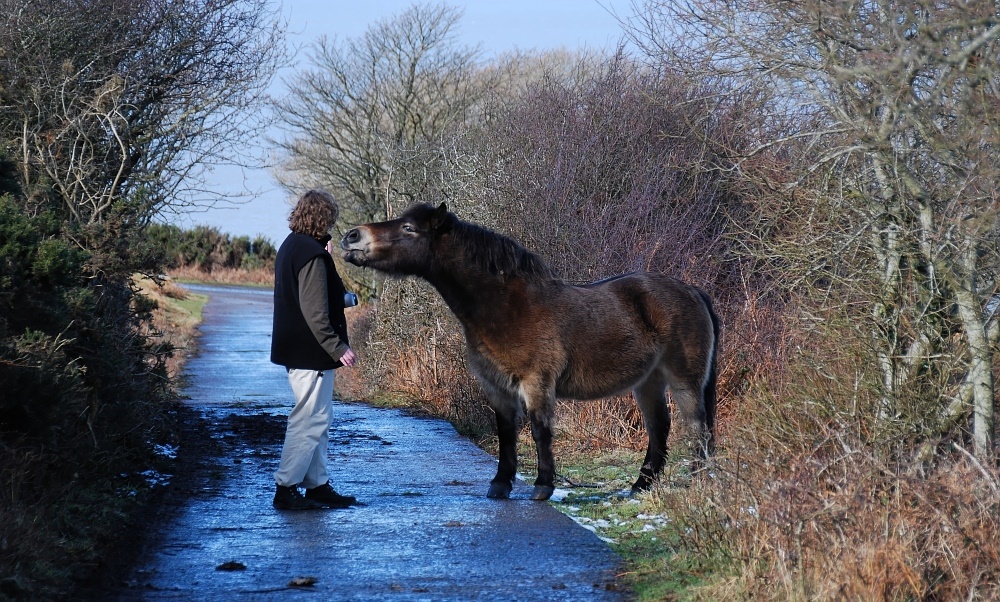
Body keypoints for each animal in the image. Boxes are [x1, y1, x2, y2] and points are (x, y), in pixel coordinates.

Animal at [344, 204, 720, 500]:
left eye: (408, 228)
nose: (351, 237)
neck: (506, 307)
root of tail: (692, 291)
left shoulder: (536, 383)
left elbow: (540, 431)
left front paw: (543, 486)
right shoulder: (497, 388)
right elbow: (506, 434)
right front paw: (500, 485)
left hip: (683, 379)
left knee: (696, 426)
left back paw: (696, 483)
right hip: (648, 381)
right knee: (659, 428)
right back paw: (639, 487)